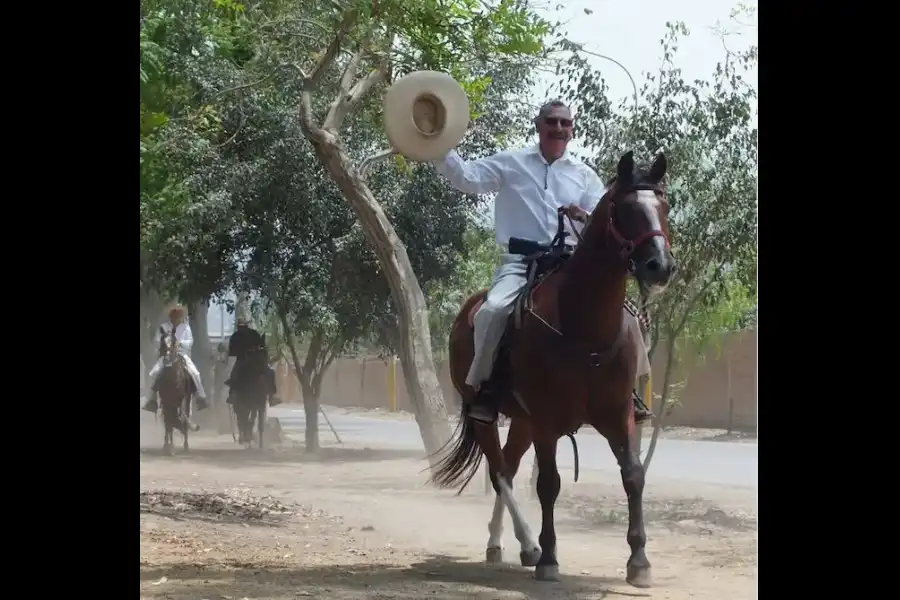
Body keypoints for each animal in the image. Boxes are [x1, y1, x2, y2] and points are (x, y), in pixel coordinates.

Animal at [430, 150, 676, 584]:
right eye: (625, 208)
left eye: (663, 206)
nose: (658, 266)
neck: (584, 327)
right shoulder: (547, 420)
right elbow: (548, 483)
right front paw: (548, 557)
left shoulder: (619, 415)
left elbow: (633, 475)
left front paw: (639, 561)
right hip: (487, 415)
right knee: (499, 472)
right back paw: (529, 544)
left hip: (523, 422)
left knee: (509, 469)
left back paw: (503, 544)